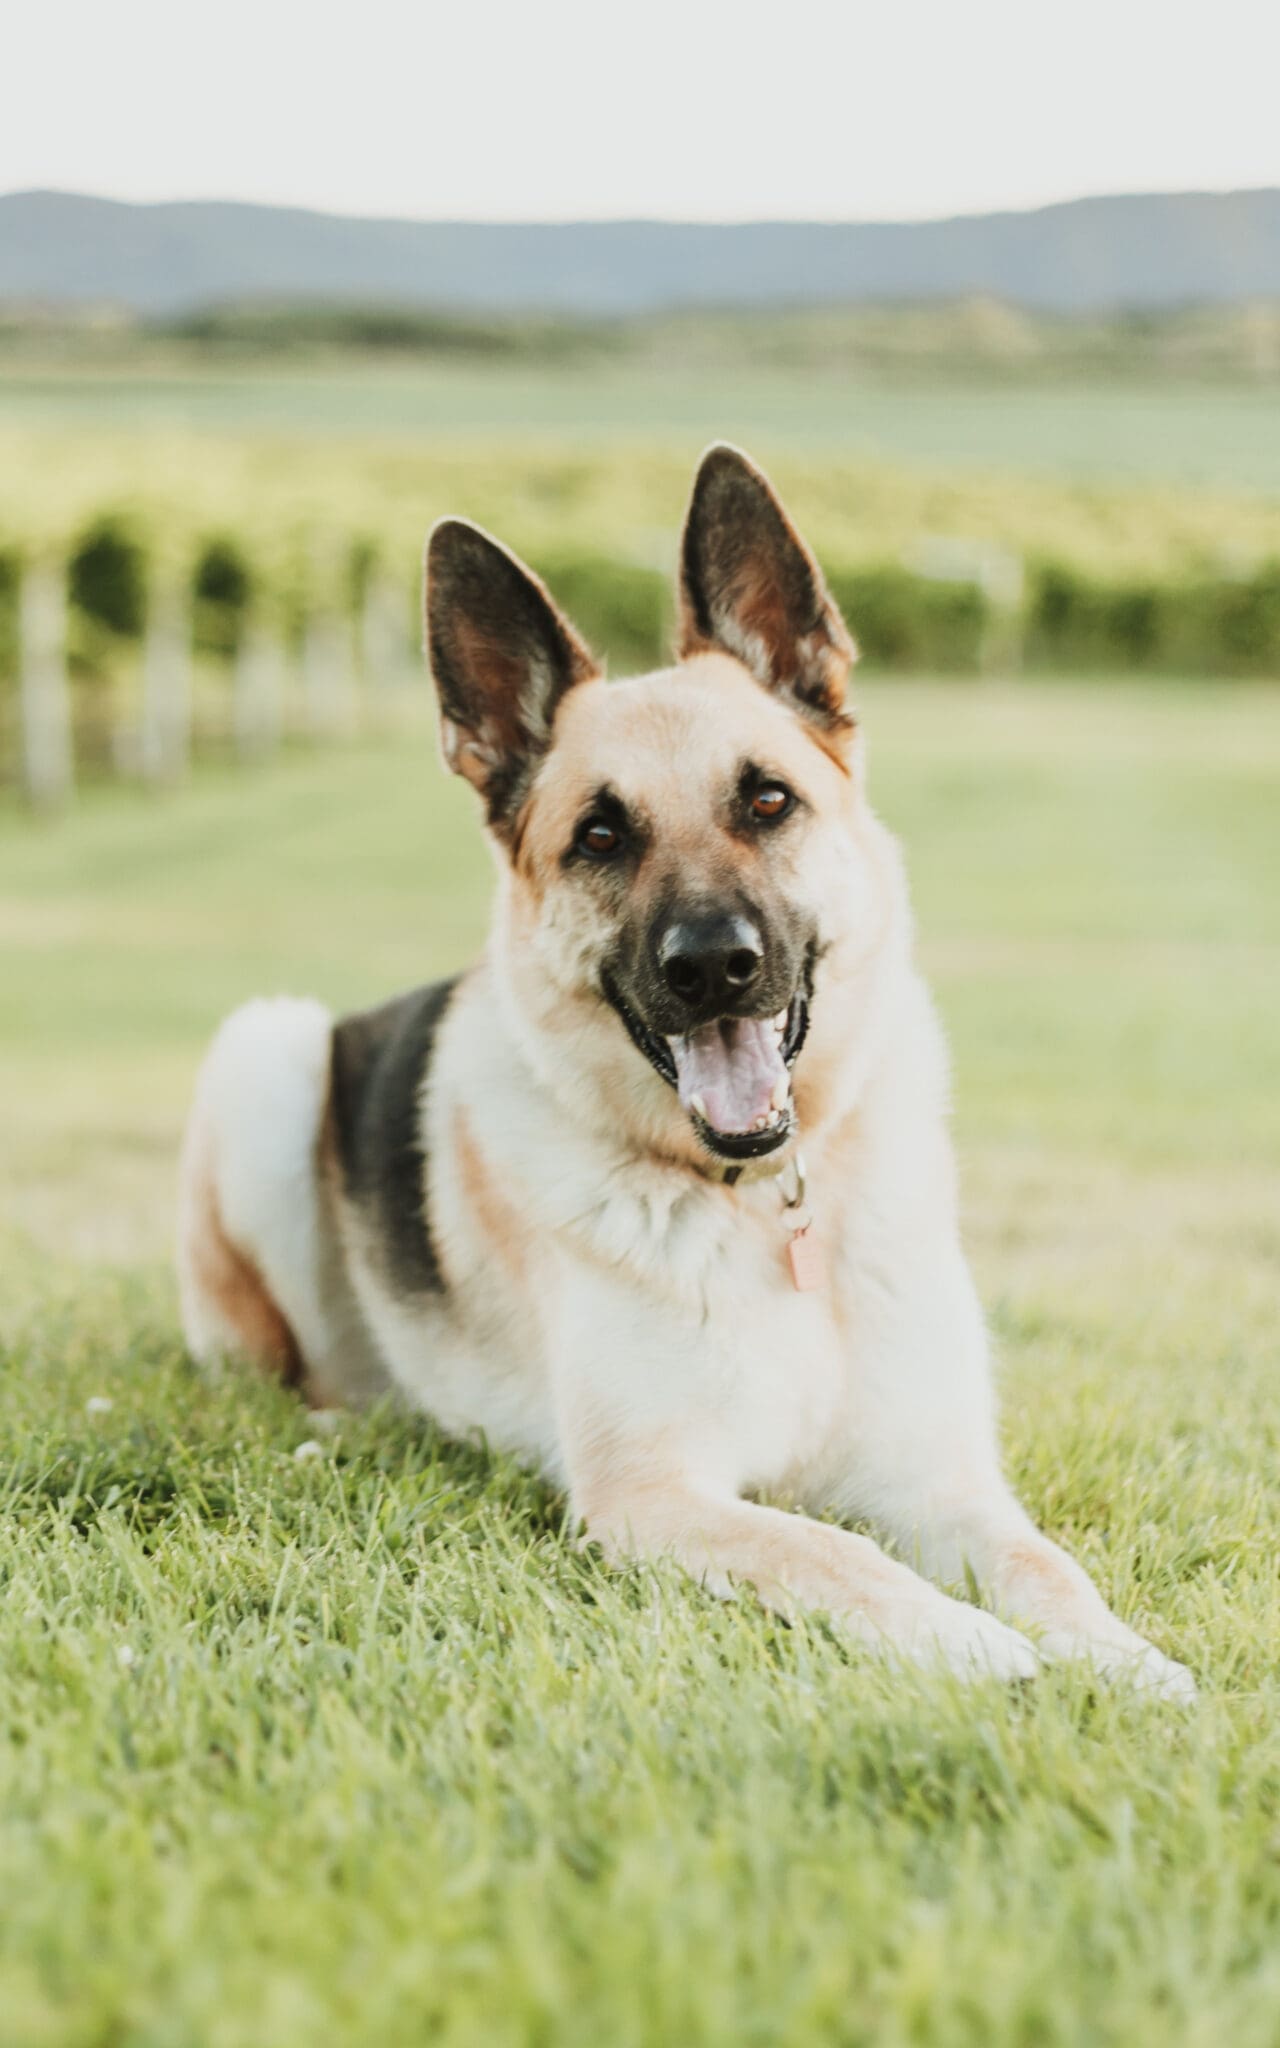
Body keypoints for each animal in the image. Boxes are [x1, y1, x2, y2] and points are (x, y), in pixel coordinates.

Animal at [175, 448, 1196, 1695]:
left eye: (766, 799)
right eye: (600, 836)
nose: (712, 966)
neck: (766, 1211)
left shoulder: (938, 1480)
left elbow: (1045, 1562)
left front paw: (1122, 1658)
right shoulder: (652, 1492)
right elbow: (832, 1549)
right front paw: (967, 1640)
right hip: (263, 1054)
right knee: (267, 1366)